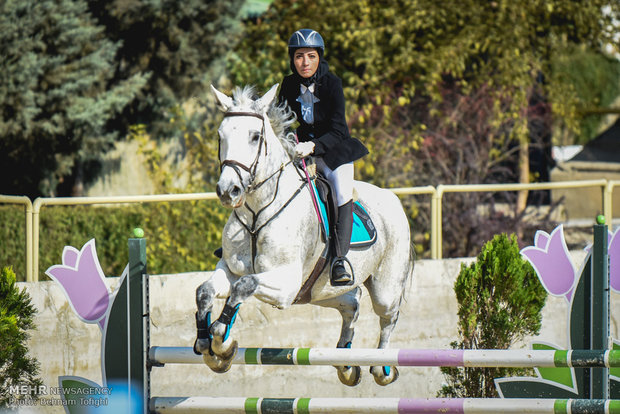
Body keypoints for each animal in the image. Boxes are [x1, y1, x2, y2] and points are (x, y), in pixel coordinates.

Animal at [194, 83, 414, 384]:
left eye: (255, 137)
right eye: (220, 135)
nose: (229, 191)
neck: (257, 212)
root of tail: (392, 198)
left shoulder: (286, 284)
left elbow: (244, 286)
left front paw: (222, 343)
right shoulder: (231, 269)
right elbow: (205, 291)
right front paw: (211, 346)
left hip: (384, 288)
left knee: (388, 317)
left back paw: (383, 369)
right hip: (319, 291)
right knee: (352, 303)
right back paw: (346, 365)